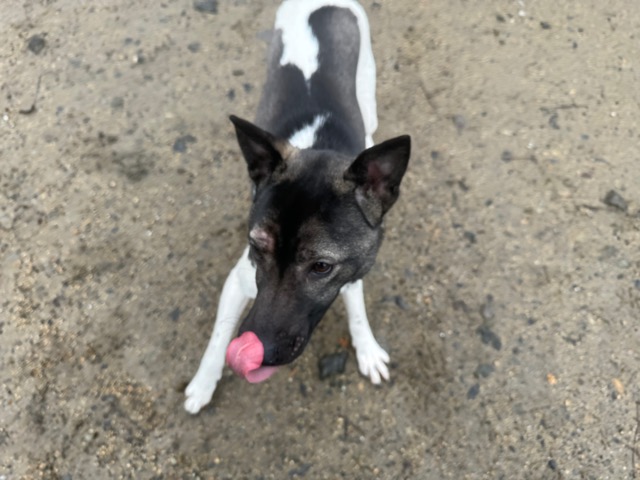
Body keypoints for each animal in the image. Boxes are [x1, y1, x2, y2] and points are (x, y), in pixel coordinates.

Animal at [184, 0, 410, 414]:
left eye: (321, 266)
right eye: (257, 247)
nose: (256, 350)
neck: (317, 146)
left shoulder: (354, 268)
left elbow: (357, 309)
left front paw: (367, 348)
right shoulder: (239, 279)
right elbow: (219, 332)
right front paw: (204, 381)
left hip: (367, 81)